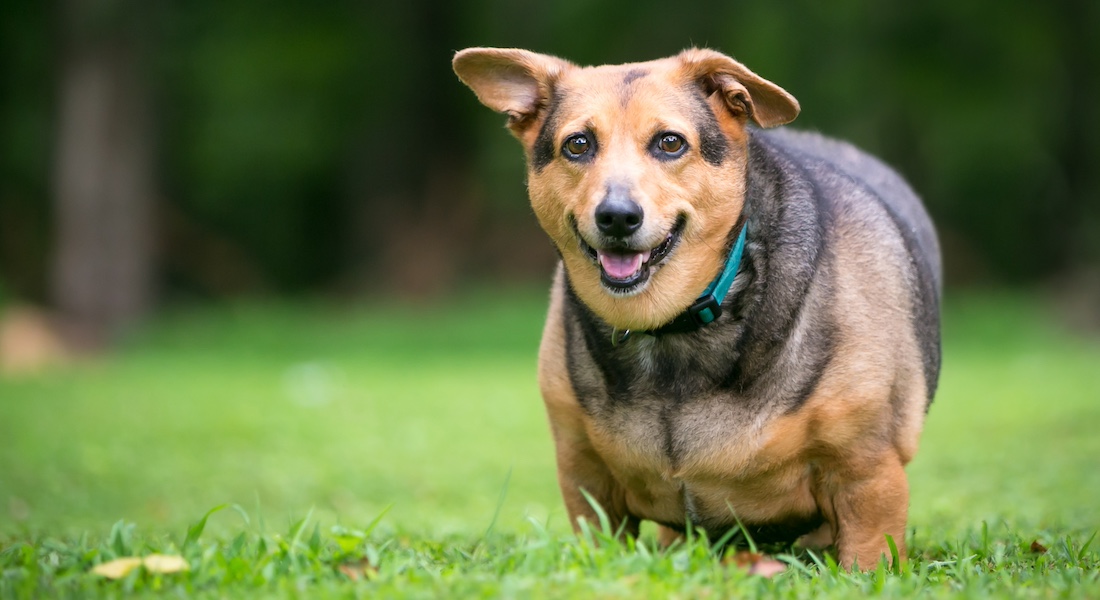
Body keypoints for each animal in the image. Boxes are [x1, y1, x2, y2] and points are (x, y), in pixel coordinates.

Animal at [451, 46, 941, 568]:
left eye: (670, 143)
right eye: (578, 144)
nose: (617, 216)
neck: (669, 327)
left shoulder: (866, 477)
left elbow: (866, 561)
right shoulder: (586, 478)